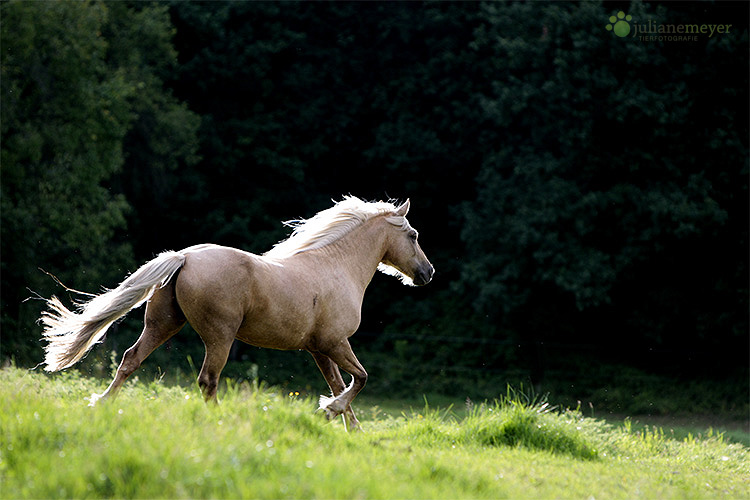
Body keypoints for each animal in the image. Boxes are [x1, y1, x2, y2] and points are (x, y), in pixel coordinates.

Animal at [39, 195, 434, 430]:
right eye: (414, 235)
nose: (428, 273)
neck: (336, 266)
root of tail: (185, 257)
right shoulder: (335, 343)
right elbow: (361, 379)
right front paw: (330, 412)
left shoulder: (320, 349)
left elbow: (341, 384)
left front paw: (349, 429)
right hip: (220, 336)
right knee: (207, 381)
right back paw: (219, 422)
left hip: (163, 324)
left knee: (130, 360)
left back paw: (102, 404)